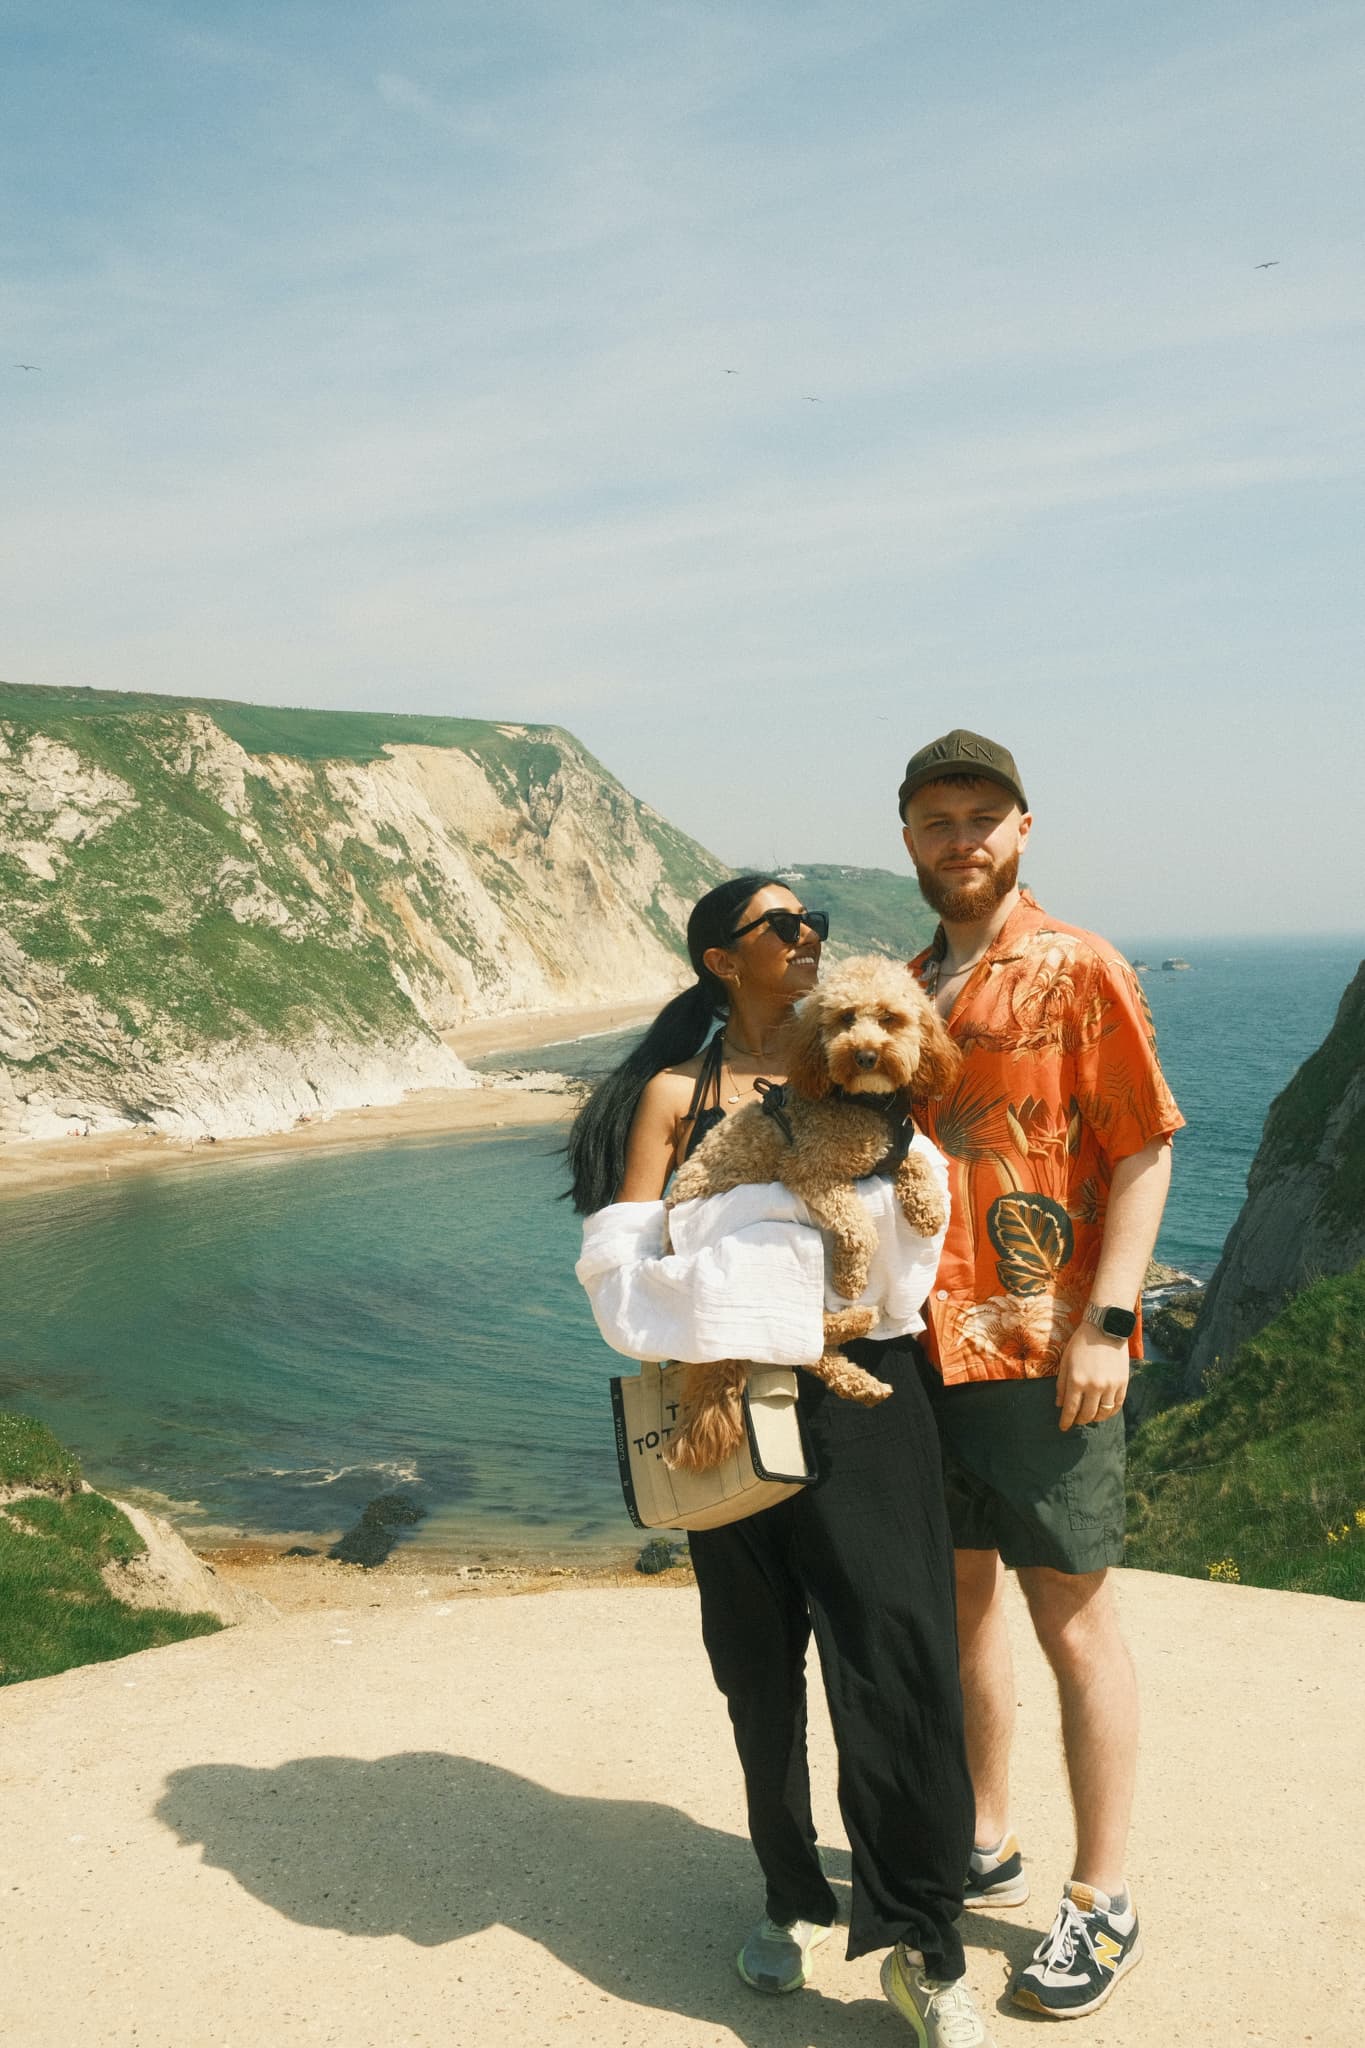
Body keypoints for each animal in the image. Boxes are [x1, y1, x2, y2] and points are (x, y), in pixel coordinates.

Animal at [662, 955, 959, 1471]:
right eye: (844, 1018)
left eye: (890, 1018)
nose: (865, 1055)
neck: (865, 1102)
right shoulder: (810, 1170)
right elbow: (860, 1227)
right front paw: (851, 1277)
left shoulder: (893, 1148)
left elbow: (918, 1160)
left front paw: (927, 1208)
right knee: (797, 1336)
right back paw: (856, 1317)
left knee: (806, 1349)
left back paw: (862, 1377)